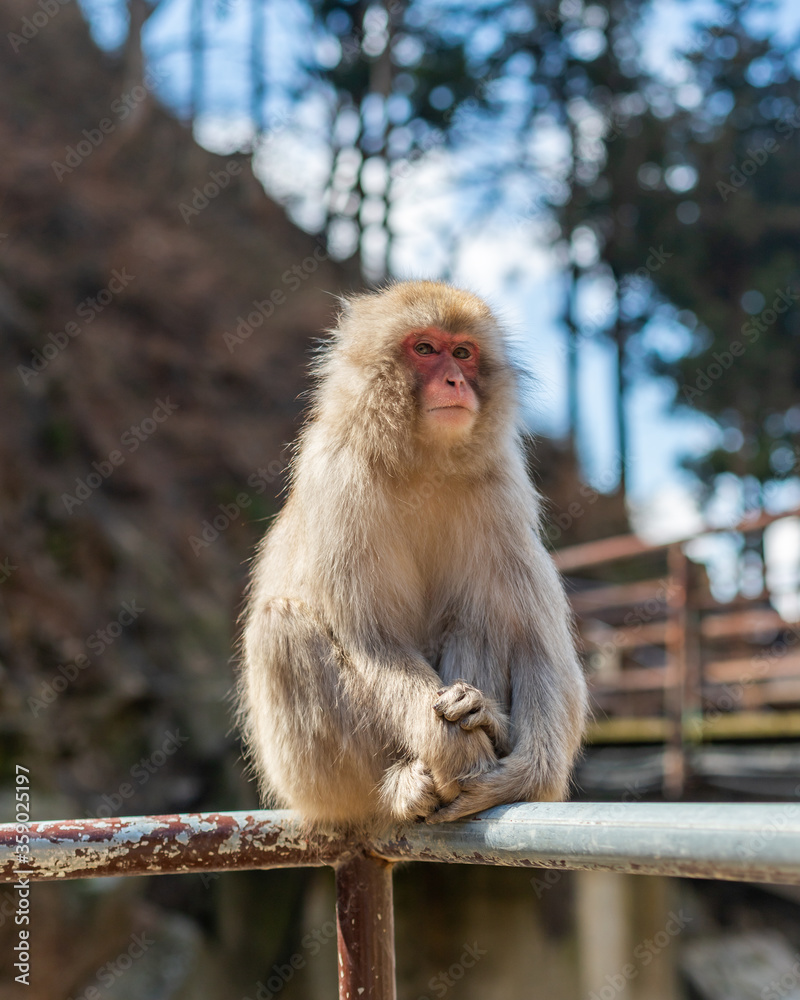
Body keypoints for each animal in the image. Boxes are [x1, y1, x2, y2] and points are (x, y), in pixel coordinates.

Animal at [238, 281, 587, 830]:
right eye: (424, 348)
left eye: (463, 353)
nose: (454, 380)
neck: (423, 462)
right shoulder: (339, 479)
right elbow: (371, 637)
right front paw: (456, 751)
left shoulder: (504, 491)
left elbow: (537, 641)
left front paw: (521, 773)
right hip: (310, 781)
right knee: (281, 624)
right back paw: (397, 791)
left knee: (484, 618)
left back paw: (486, 720)